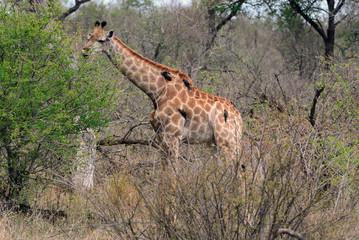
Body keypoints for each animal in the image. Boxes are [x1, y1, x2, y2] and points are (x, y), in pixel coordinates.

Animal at [83, 20, 243, 171]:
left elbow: (173, 171)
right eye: (89, 37)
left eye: (101, 40)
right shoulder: (160, 136)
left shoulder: (173, 136)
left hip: (227, 142)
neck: (157, 91)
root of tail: (238, 117)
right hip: (214, 143)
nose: (84, 51)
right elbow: (164, 171)